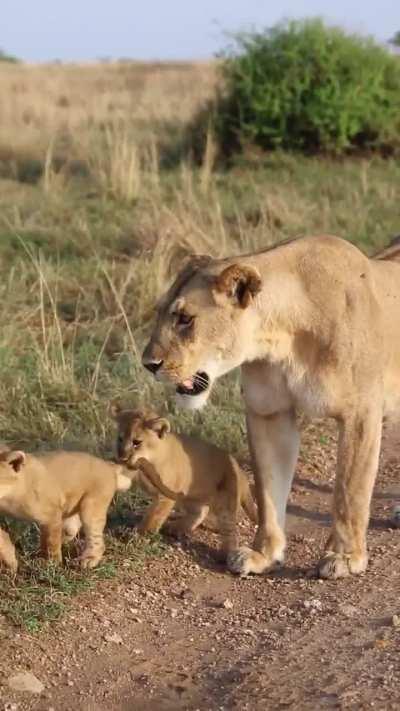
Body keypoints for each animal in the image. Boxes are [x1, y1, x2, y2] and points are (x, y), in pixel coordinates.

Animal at [0, 449, 133, 571]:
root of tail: (109, 466)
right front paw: (10, 561)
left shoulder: (51, 515)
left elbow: (51, 542)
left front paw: (51, 564)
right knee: (71, 529)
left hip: (91, 507)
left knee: (96, 539)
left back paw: (89, 559)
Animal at [111, 405, 257, 558]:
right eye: (120, 439)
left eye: (136, 442)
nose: (121, 456)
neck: (151, 459)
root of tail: (241, 472)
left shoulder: (165, 496)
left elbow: (153, 517)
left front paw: (139, 535)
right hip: (189, 498)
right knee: (201, 512)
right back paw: (175, 528)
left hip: (225, 502)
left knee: (231, 530)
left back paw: (225, 555)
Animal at [142, 234, 400, 579]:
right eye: (160, 314)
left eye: (186, 319)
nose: (148, 364)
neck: (282, 336)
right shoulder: (268, 412)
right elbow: (268, 490)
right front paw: (262, 554)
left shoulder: (360, 412)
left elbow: (350, 489)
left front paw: (345, 557)